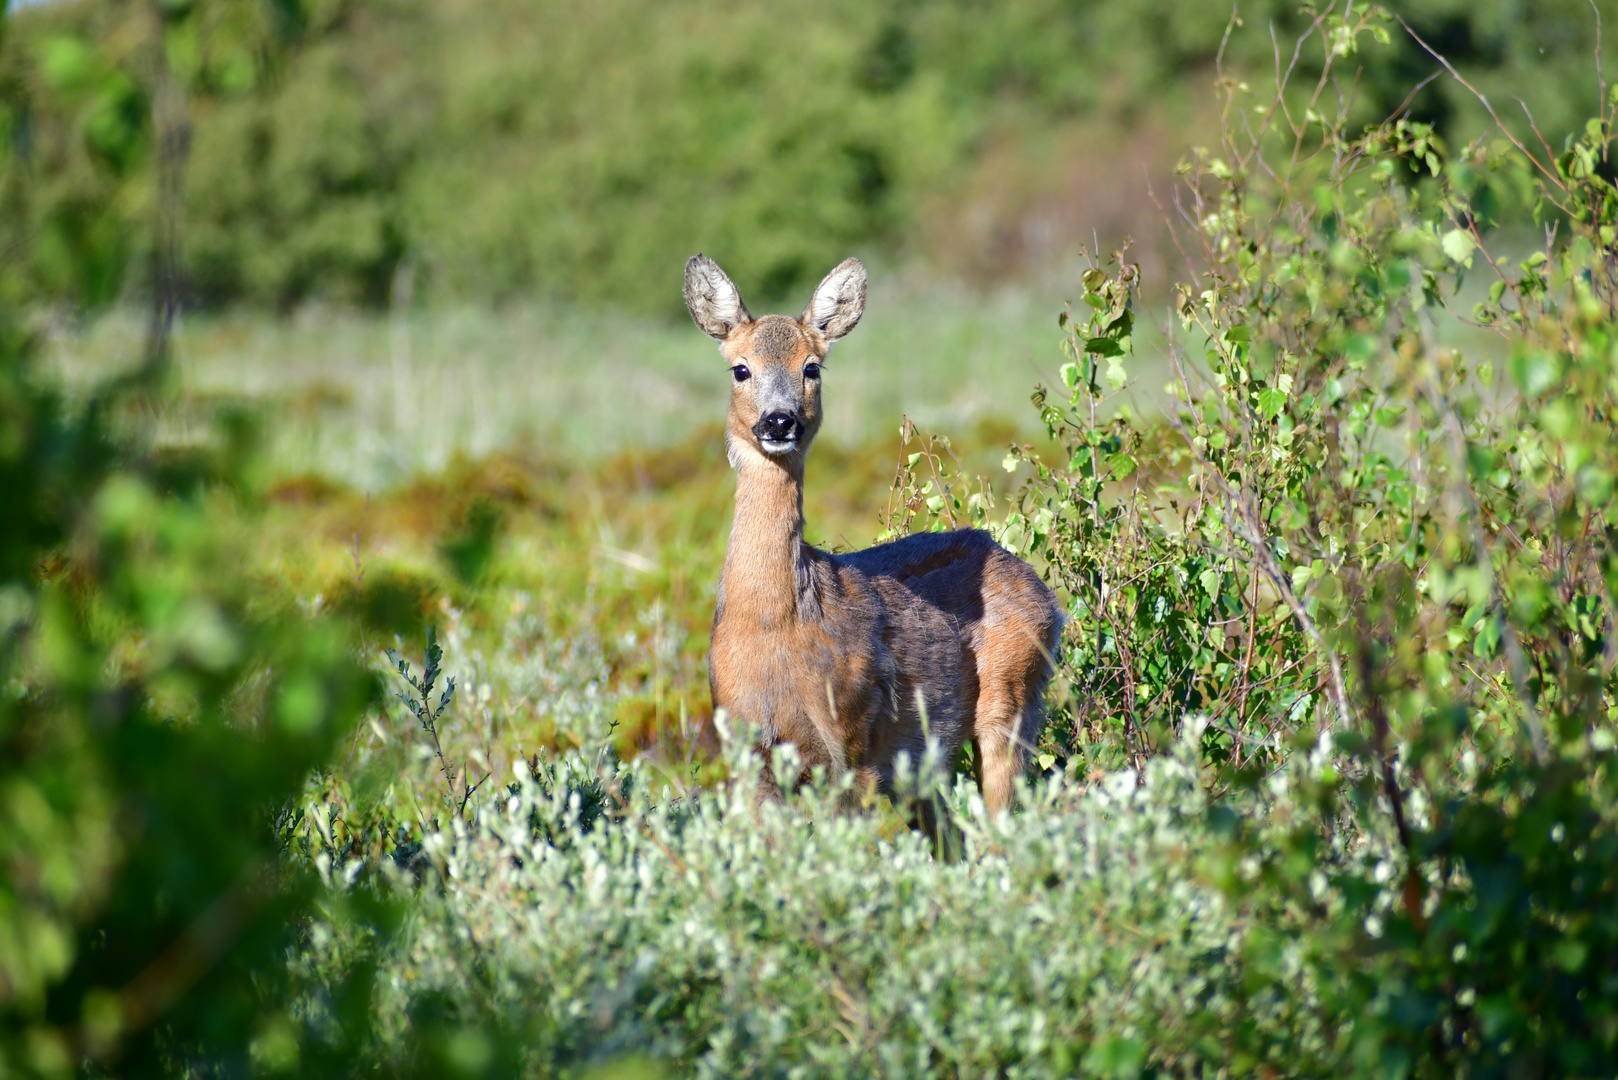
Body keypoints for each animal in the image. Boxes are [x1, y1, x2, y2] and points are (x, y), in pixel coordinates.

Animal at [679, 254, 1061, 816]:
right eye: (740, 368)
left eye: (811, 367)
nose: (779, 420)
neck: (773, 633)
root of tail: (1045, 593)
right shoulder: (746, 747)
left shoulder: (854, 739)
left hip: (1012, 694)